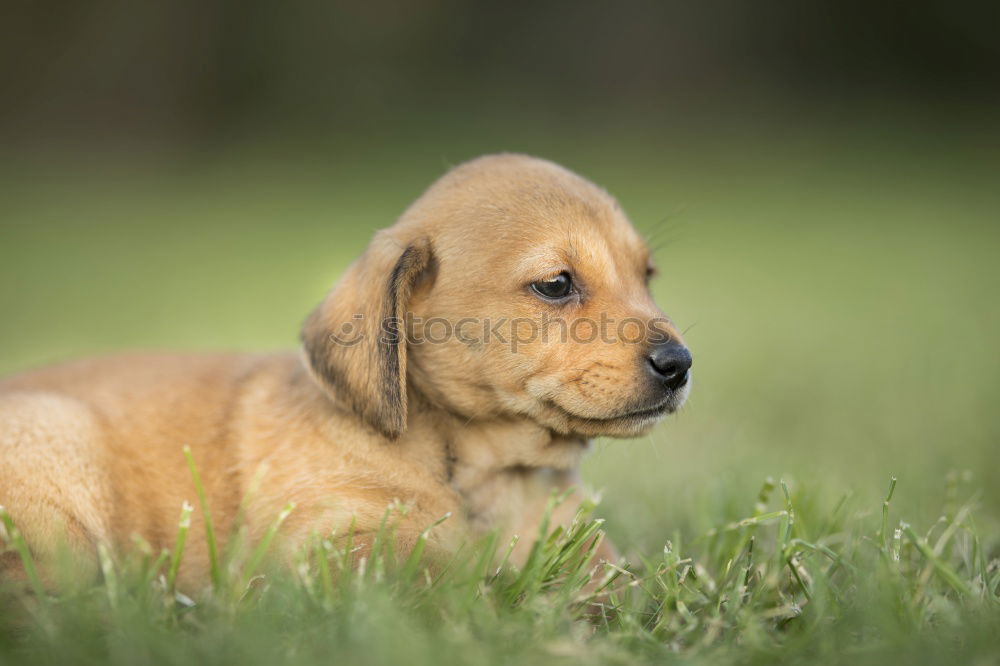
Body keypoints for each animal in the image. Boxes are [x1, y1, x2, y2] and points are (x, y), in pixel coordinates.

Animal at [0, 156, 692, 588]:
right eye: (555, 284)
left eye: (647, 276)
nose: (680, 365)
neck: (476, 471)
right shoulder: (326, 545)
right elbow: (428, 571)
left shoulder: (578, 539)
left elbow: (609, 577)